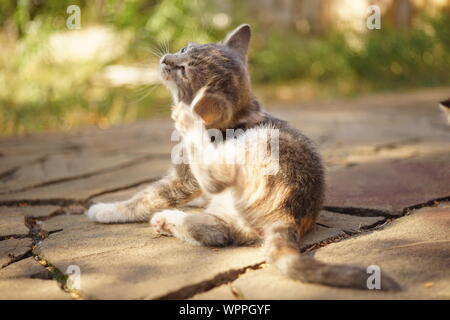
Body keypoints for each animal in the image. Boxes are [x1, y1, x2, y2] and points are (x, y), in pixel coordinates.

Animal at [86, 25, 400, 290]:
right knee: (217, 232)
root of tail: (292, 213)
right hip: (237, 214)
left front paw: (108, 209)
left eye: (183, 71)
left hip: (261, 143)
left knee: (214, 180)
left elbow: (147, 197)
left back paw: (186, 126)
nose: (166, 59)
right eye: (185, 47)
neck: (241, 113)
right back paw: (170, 220)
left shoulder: (182, 178)